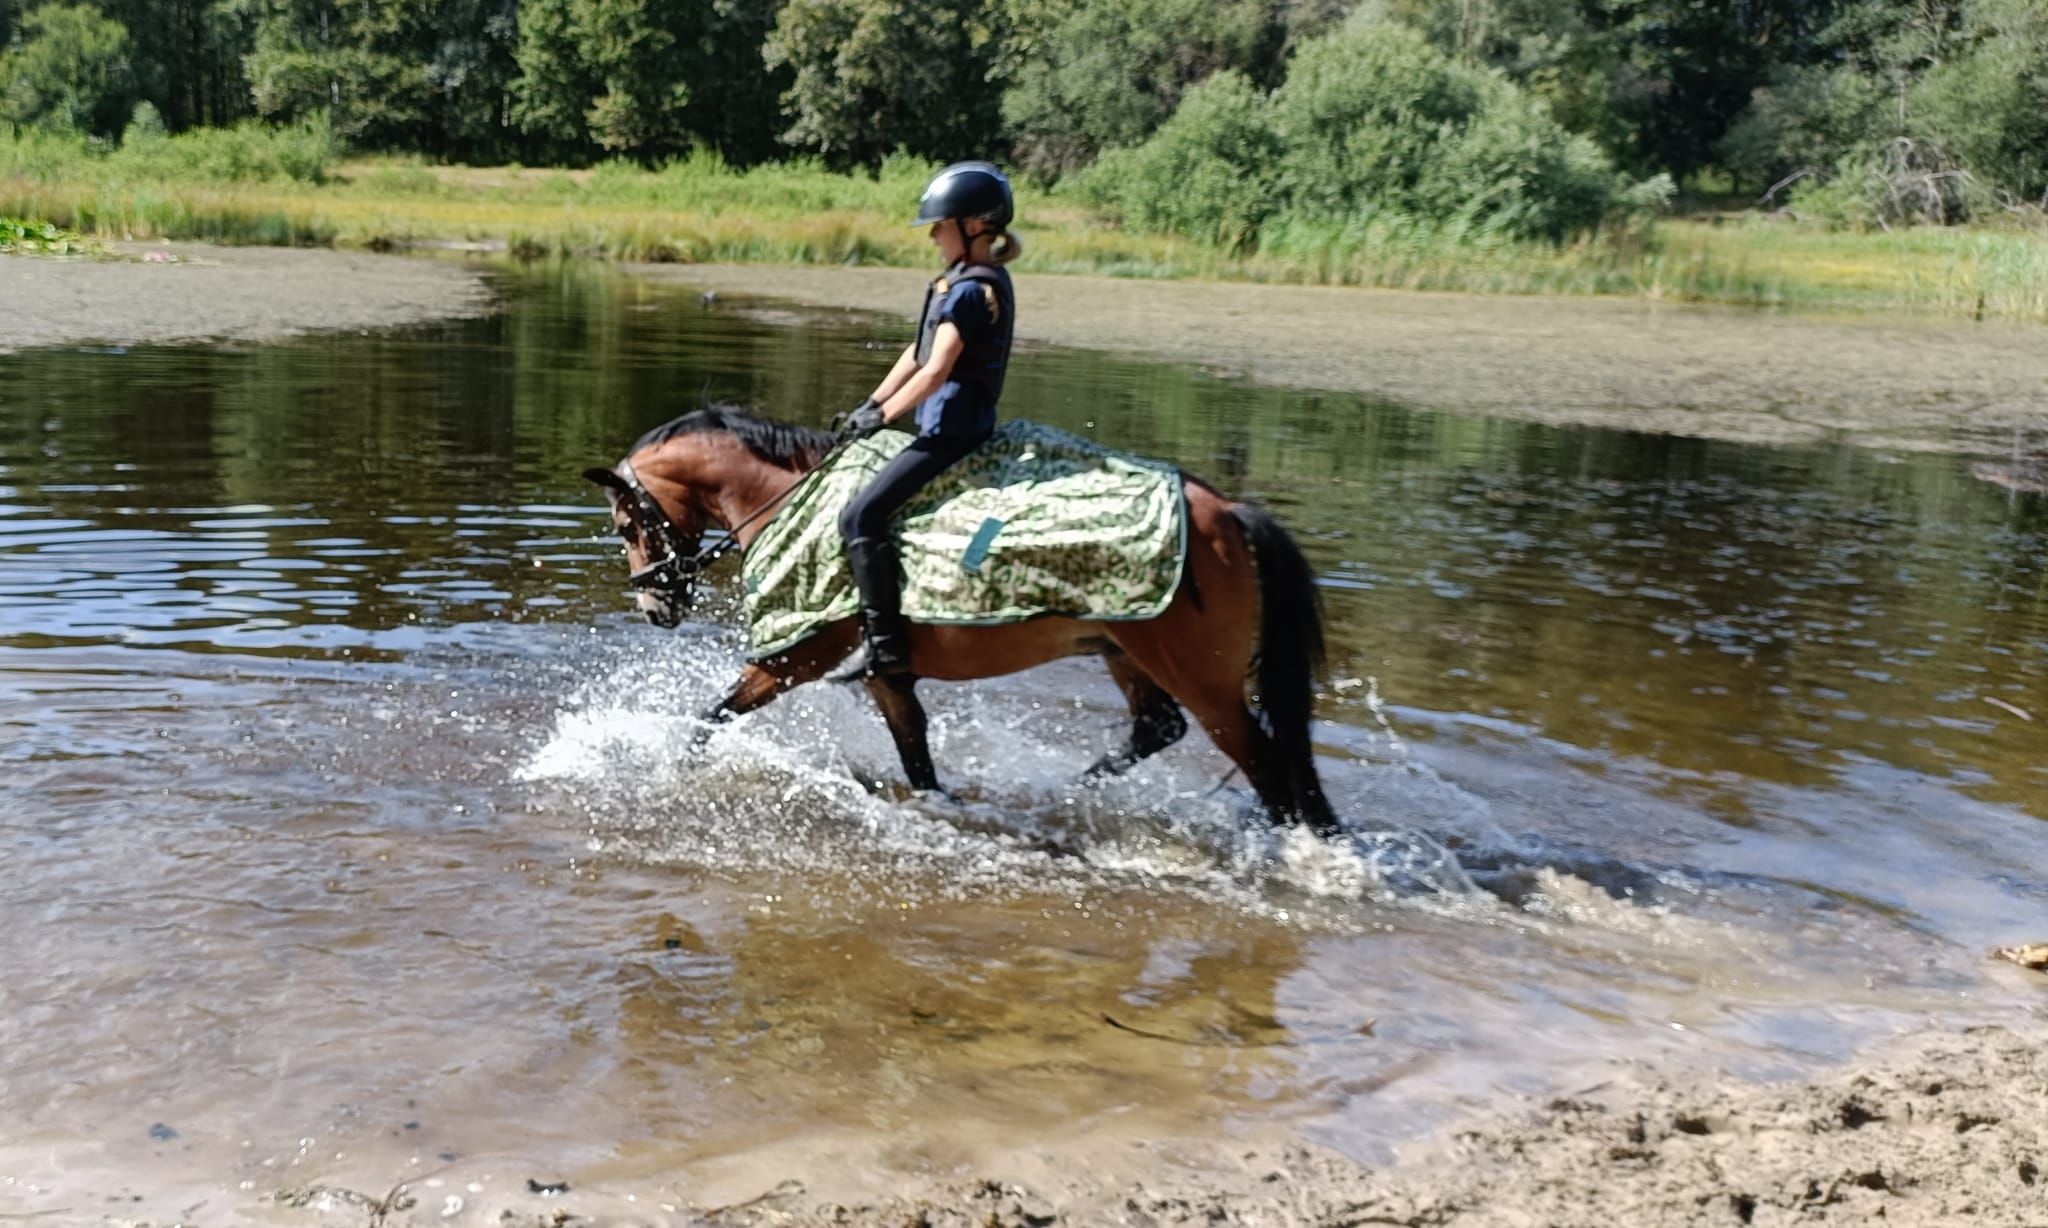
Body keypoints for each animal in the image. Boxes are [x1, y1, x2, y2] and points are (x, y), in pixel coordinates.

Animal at [583, 405, 1339, 836]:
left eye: (627, 524)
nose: (654, 608)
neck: (789, 495)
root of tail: (1229, 513)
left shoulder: (794, 658)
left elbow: (707, 720)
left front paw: (662, 771)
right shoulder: (886, 676)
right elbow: (918, 760)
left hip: (1202, 681)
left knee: (1270, 772)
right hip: (1123, 648)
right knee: (1159, 728)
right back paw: (1066, 792)